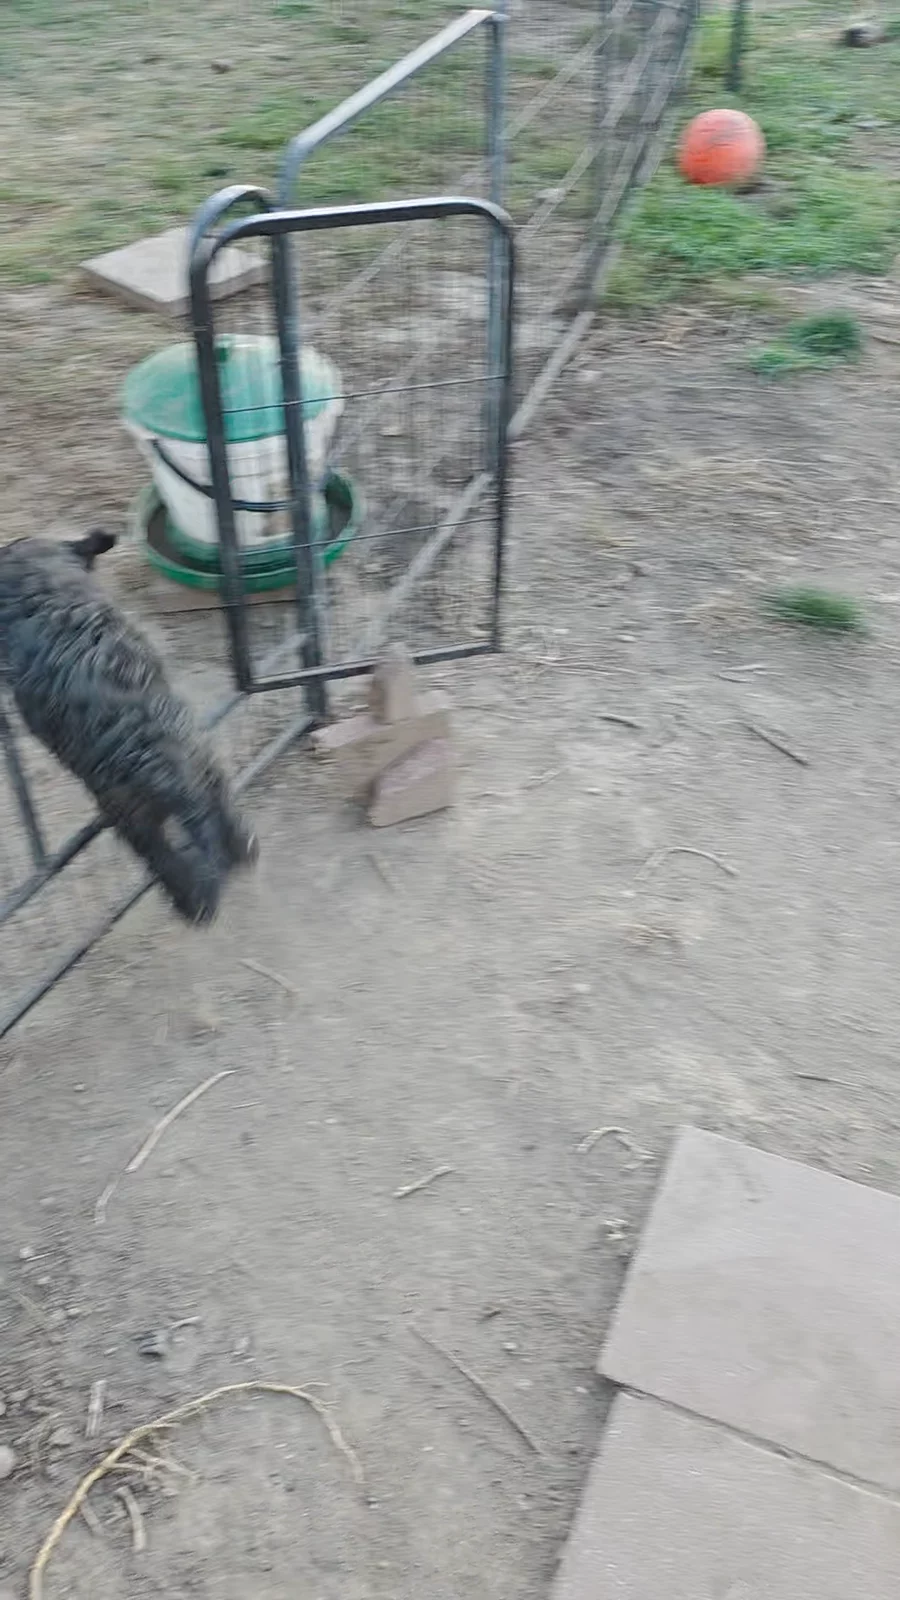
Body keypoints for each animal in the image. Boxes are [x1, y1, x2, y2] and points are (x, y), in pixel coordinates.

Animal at [0, 531, 257, 923]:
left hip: (128, 812)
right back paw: (244, 850)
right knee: (223, 815)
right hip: (202, 766)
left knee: (163, 858)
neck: (41, 583)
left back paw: (193, 906)